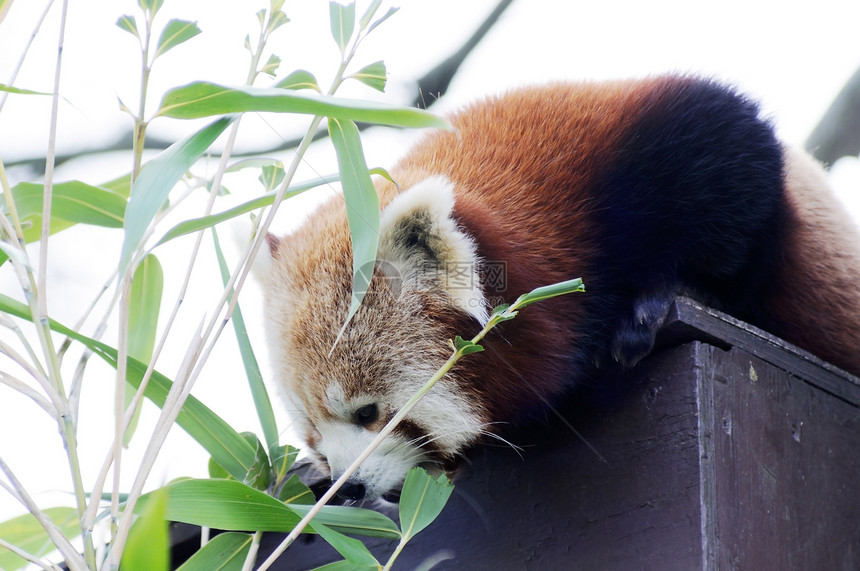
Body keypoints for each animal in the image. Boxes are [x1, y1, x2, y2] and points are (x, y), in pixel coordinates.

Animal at [258, 75, 860, 500]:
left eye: (368, 413)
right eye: (311, 433)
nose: (347, 489)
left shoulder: (656, 141)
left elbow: (739, 165)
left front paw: (660, 302)